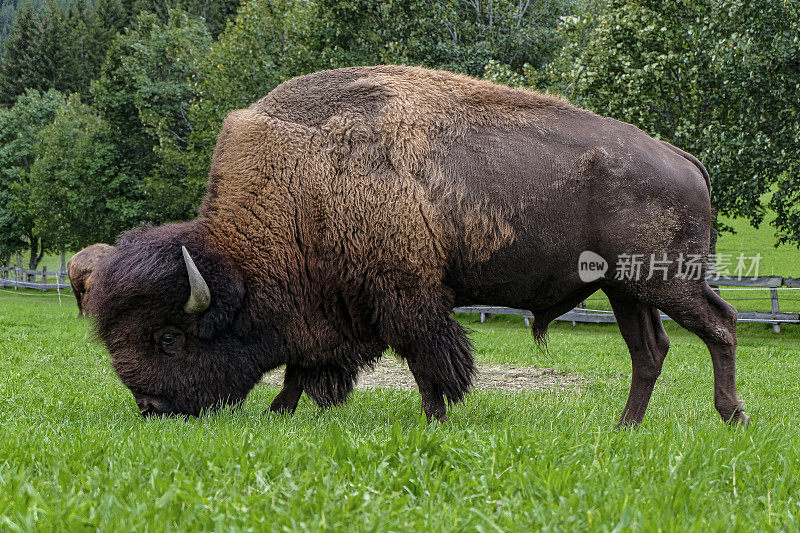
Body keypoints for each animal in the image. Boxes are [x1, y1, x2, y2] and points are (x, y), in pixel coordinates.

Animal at [89, 66, 752, 426]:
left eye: (168, 338)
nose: (151, 406)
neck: (300, 183)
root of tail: (683, 158)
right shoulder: (335, 309)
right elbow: (309, 363)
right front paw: (283, 409)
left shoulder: (407, 295)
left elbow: (430, 357)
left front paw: (436, 417)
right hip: (625, 289)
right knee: (651, 350)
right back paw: (624, 428)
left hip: (666, 280)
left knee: (720, 324)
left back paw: (730, 417)